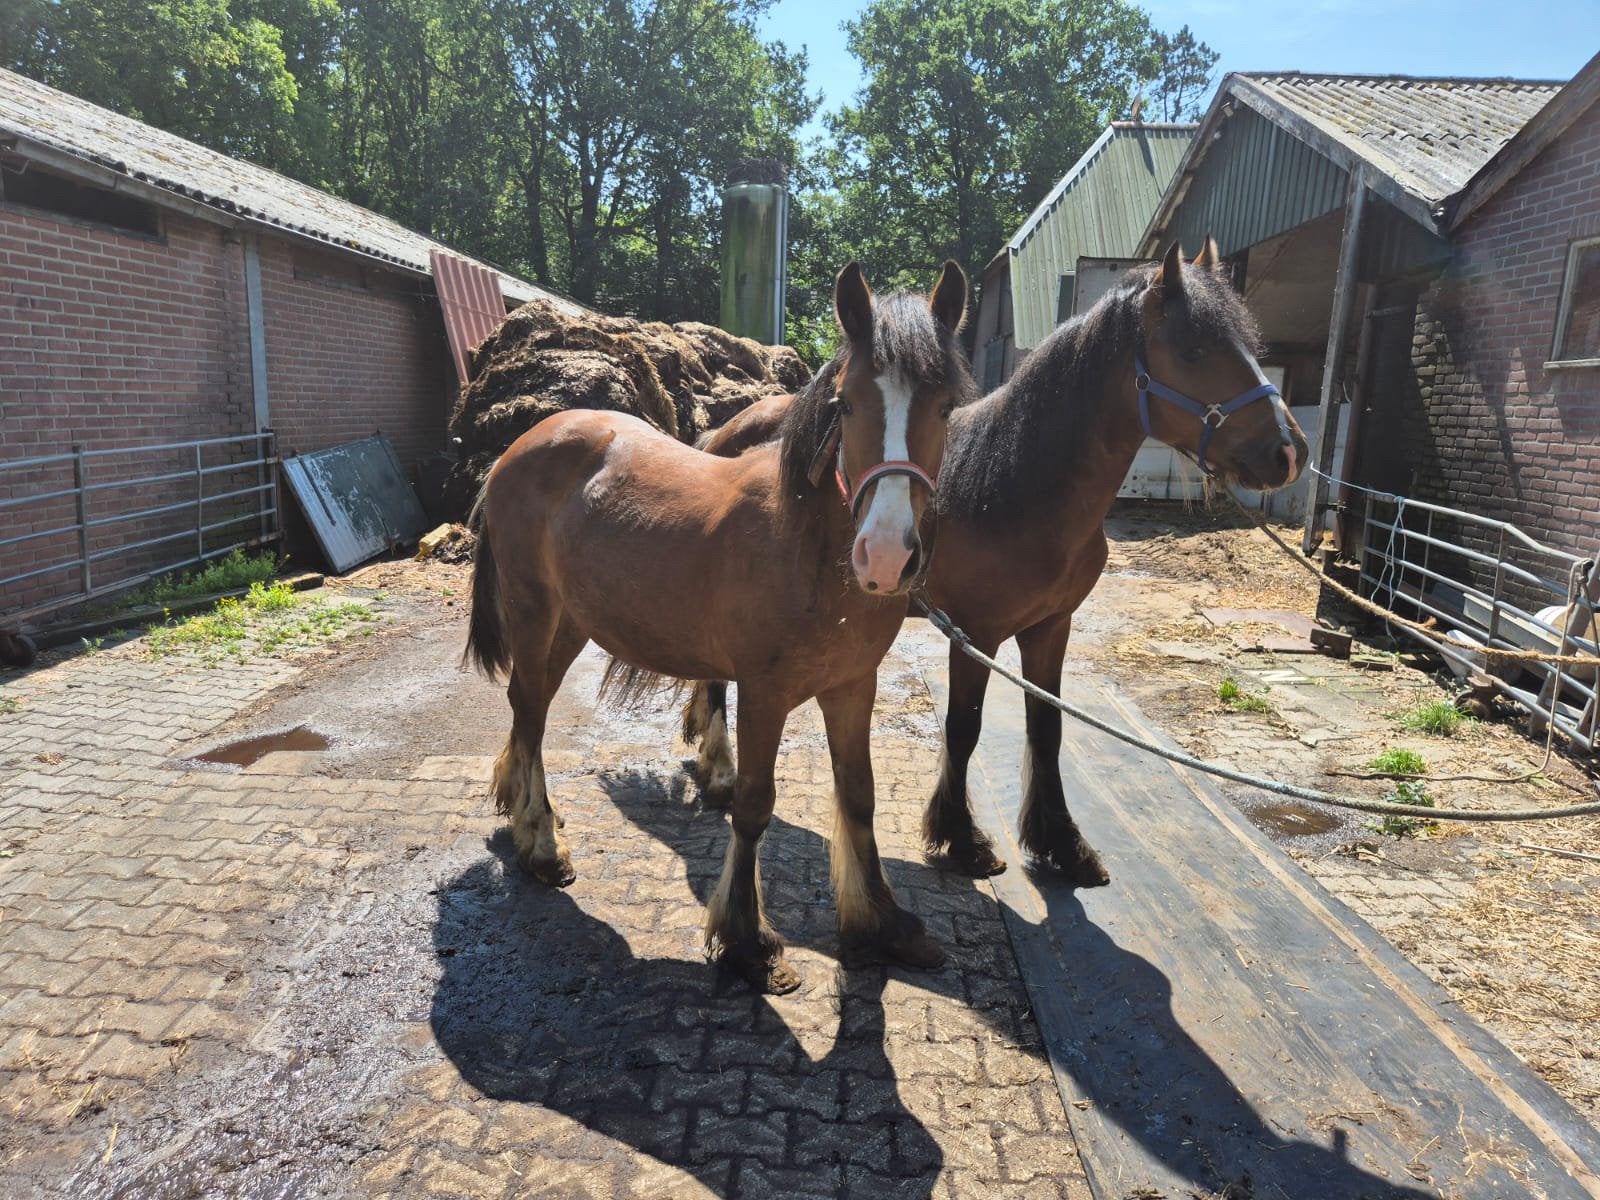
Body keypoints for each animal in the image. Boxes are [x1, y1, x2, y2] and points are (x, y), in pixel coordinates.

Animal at [465, 261, 974, 994]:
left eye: (945, 407)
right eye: (847, 404)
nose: (884, 556)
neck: (812, 551)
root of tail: (522, 444)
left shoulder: (853, 687)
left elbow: (860, 796)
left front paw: (883, 922)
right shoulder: (764, 694)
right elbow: (755, 806)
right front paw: (746, 940)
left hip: (572, 621)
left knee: (527, 706)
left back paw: (525, 813)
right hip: (534, 611)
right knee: (531, 708)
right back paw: (539, 844)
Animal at [685, 241, 1309, 885]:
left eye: (1249, 345)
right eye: (1194, 350)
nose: (1289, 452)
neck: (1015, 486)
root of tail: (727, 428)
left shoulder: (1050, 628)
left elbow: (1048, 728)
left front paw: (1063, 843)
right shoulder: (975, 633)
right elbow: (964, 728)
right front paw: (961, 839)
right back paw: (721, 772)